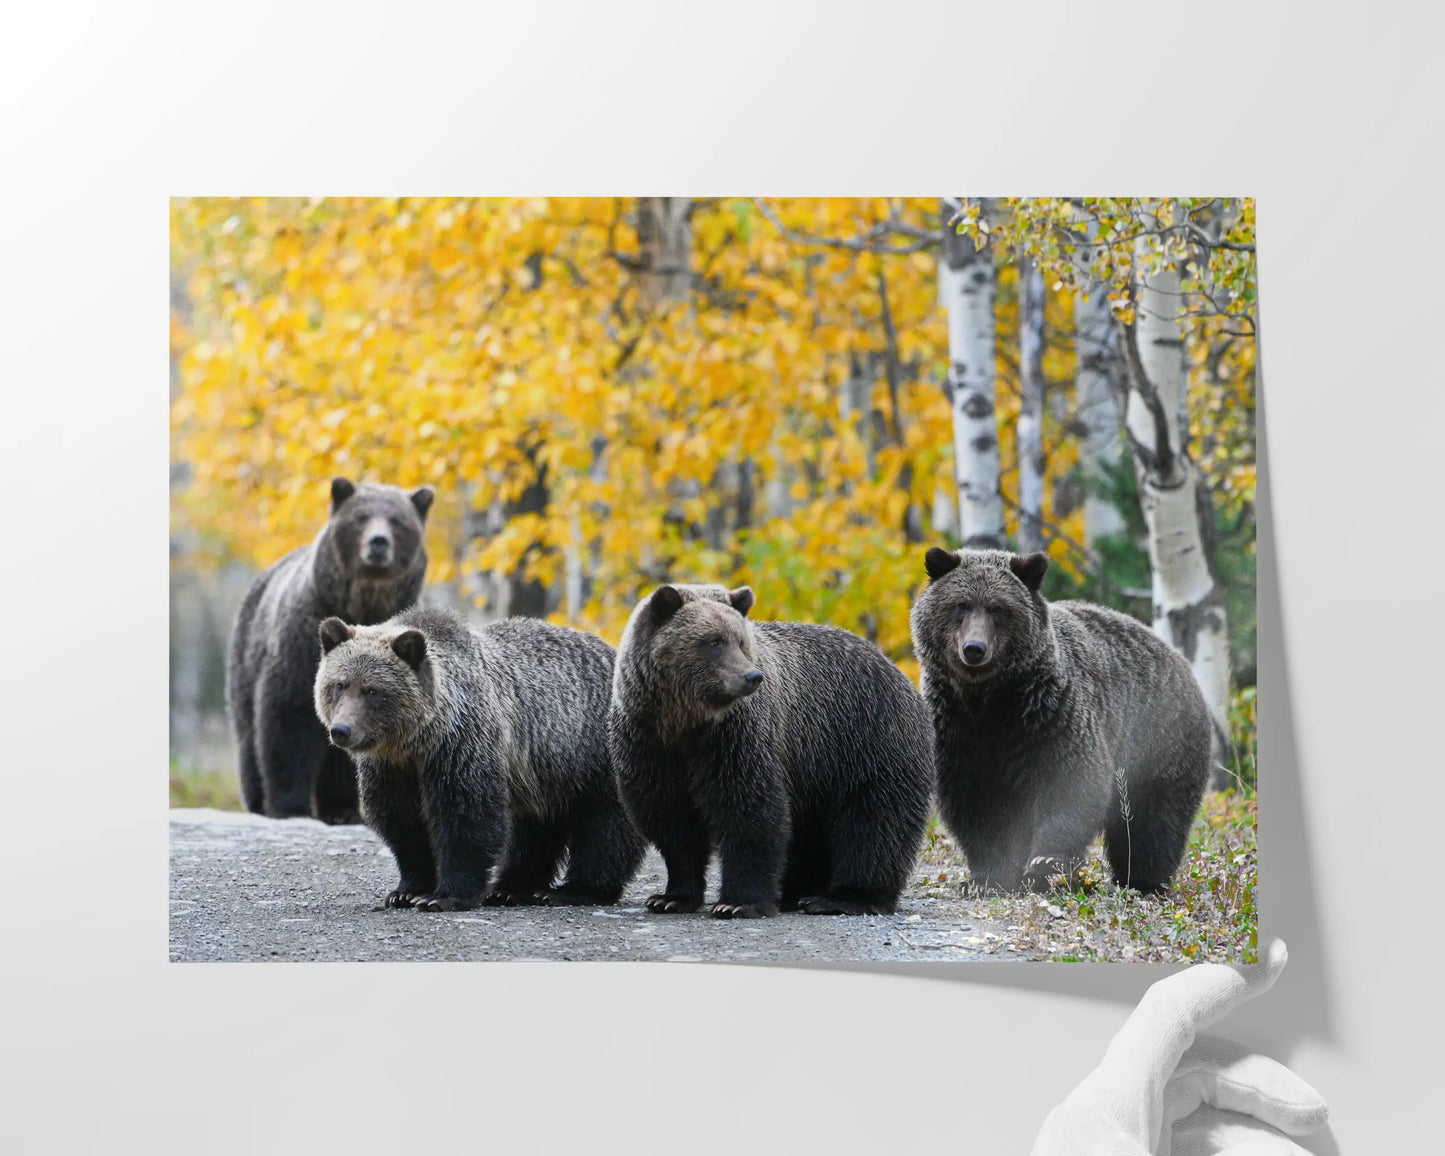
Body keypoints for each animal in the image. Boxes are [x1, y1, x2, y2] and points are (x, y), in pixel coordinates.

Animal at [228, 477, 433, 824]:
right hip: (246, 653)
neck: (364, 603)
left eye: (397, 521)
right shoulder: (301, 640)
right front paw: (289, 806)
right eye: (361, 517)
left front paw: (343, 809)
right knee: (248, 731)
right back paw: (257, 801)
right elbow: (288, 714)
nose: (378, 542)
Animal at [313, 606, 645, 911]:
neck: (416, 742)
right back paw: (511, 889)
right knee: (533, 829)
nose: (341, 730)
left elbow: (466, 815)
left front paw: (443, 896)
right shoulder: (391, 768)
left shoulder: (461, 744)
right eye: (339, 684)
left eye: (372, 690)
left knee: (606, 826)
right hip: (542, 773)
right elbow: (401, 822)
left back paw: (574, 890)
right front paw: (406, 891)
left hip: (594, 753)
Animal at [609, 583, 934, 919]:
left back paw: (842, 897)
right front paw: (670, 897)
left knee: (872, 822)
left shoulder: (736, 739)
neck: (685, 723)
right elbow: (671, 822)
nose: (751, 676)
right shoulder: (649, 745)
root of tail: (897, 671)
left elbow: (751, 810)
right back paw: (798, 891)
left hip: (867, 742)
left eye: (741, 641)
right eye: (713, 641)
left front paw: (737, 902)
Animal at [909, 547, 1212, 895]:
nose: (974, 649)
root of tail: (1179, 659)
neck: (989, 698)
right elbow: (974, 802)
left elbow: (1069, 783)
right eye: (961, 605)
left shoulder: (1047, 716)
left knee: (1153, 821)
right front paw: (988, 877)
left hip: (1159, 740)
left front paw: (1044, 866)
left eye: (998, 608)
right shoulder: (957, 730)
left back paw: (1142, 880)